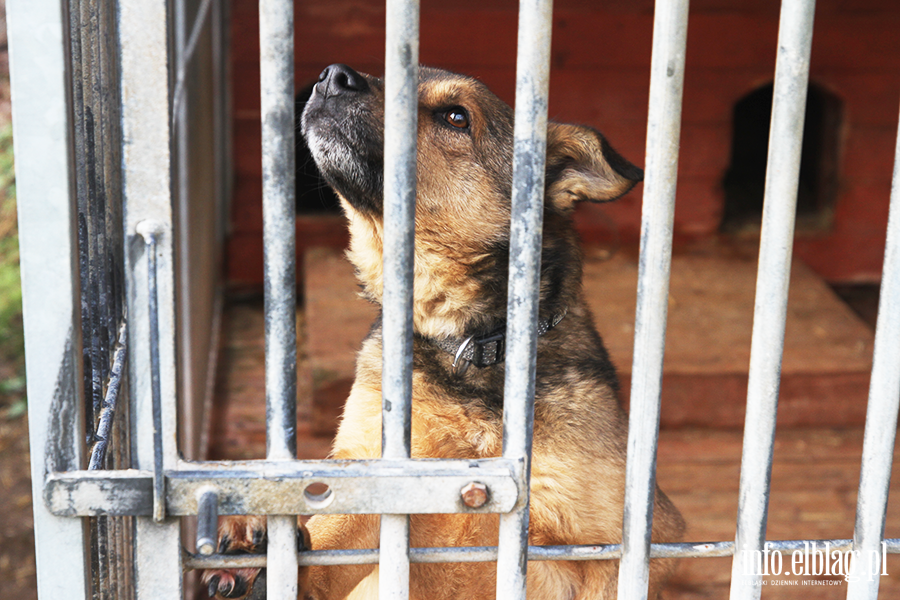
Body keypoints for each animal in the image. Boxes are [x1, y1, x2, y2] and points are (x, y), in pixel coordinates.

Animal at [204, 63, 684, 596]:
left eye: (456, 117)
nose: (332, 76)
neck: (469, 345)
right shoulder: (373, 484)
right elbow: (329, 543)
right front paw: (265, 558)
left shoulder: (631, 545)